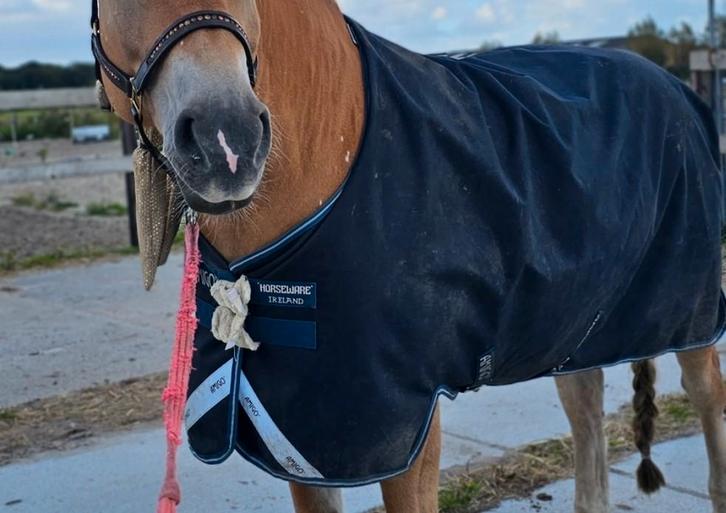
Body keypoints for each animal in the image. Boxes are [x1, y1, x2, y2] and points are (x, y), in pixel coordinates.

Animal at [93, 1, 726, 512]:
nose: (226, 141)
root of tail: (675, 86)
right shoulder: (301, 430)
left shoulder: (405, 429)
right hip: (569, 330)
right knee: (588, 423)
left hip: (690, 319)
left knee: (708, 406)